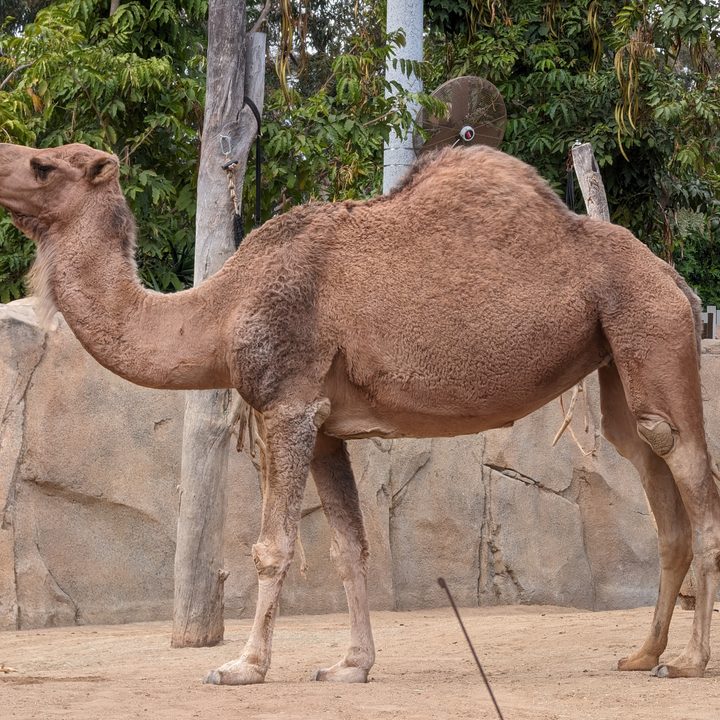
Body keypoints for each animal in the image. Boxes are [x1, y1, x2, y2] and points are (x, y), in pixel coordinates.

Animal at [0, 141, 718, 685]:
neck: (219, 311)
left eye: (44, 165)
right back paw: (641, 654)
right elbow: (349, 546)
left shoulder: (287, 405)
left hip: (650, 328)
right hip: (618, 360)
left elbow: (273, 546)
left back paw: (688, 661)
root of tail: (676, 281)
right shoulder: (324, 427)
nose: (4, 157)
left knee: (690, 472)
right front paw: (350, 664)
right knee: (651, 473)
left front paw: (243, 666)